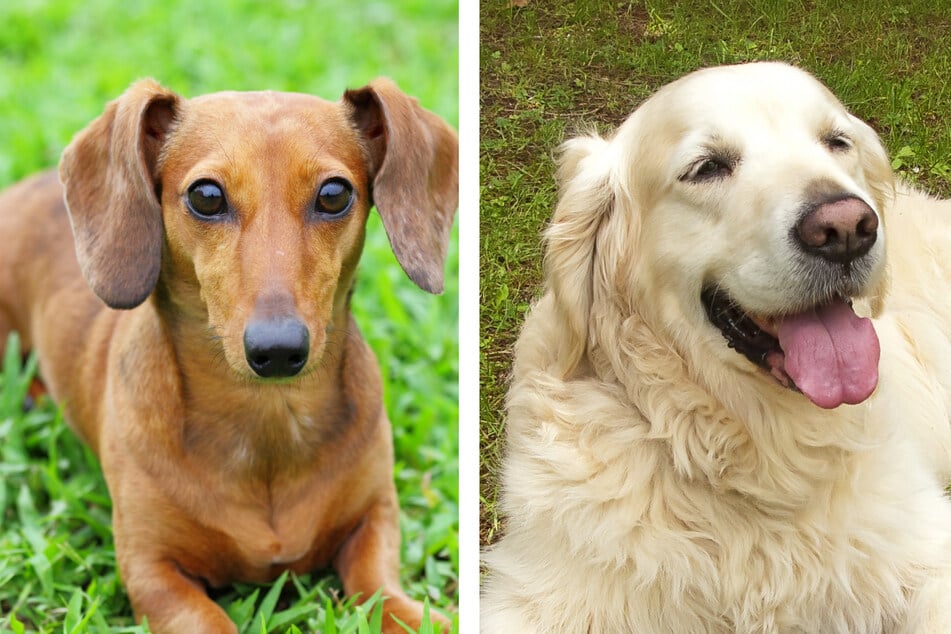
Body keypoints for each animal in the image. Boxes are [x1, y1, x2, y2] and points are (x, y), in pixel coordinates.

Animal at [0, 76, 458, 628]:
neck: (267, 423)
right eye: (206, 195)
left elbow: (380, 590)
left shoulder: (376, 516)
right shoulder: (149, 569)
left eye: (334, 194)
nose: (278, 349)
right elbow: (206, 618)